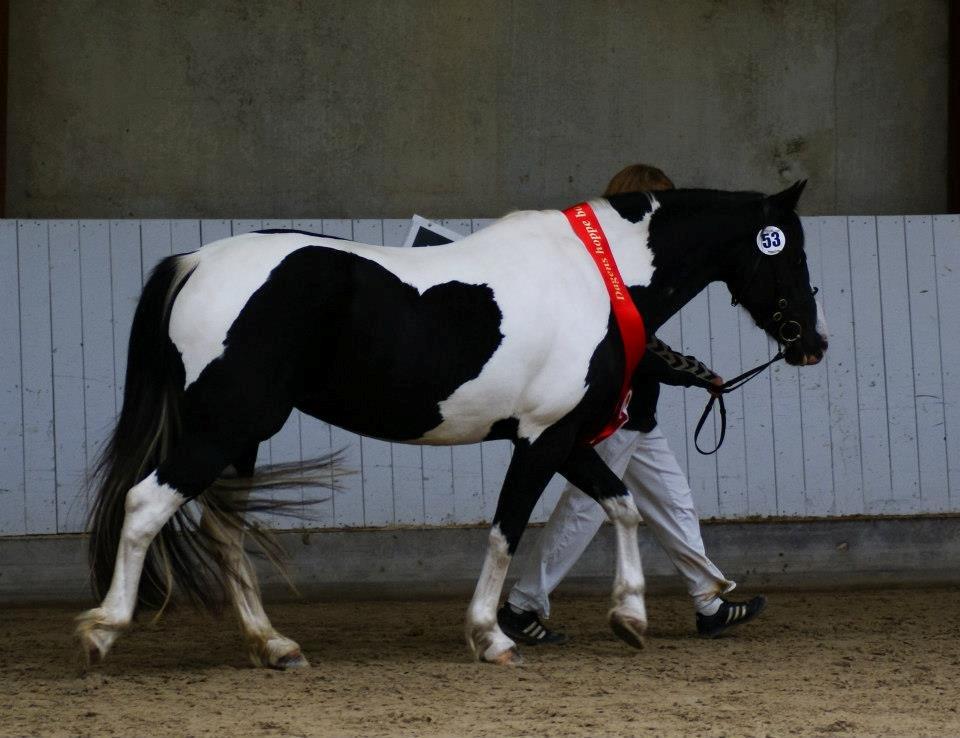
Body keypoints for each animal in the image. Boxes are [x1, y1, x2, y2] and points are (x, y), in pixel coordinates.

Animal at [77, 180, 824, 668]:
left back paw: (274, 645)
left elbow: (622, 508)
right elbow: (507, 532)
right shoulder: (543, 438)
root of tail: (195, 263)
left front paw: (630, 616)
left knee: (224, 532)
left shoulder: (563, 437)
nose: (811, 343)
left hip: (242, 438)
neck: (596, 278)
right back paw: (104, 629)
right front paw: (491, 636)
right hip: (225, 425)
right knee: (145, 503)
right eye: (786, 250)